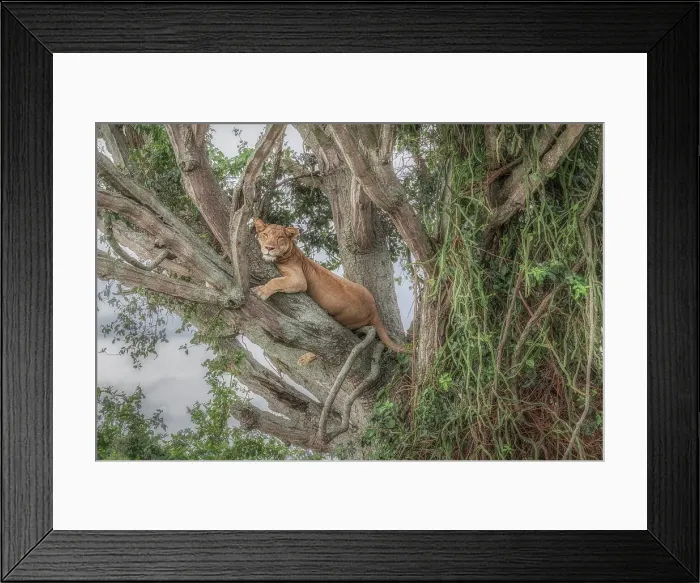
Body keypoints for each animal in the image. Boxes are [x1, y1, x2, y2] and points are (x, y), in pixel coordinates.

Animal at [250, 218, 407, 357]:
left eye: (280, 238)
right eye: (265, 235)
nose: (269, 248)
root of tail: (374, 310)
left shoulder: (299, 279)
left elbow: (275, 281)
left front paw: (261, 291)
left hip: (345, 319)